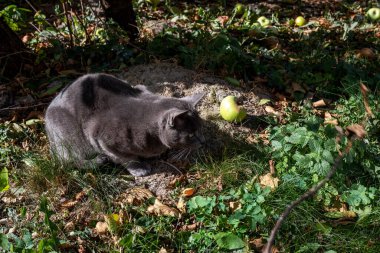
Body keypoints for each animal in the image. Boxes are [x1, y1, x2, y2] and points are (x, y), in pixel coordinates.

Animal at [44, 73, 205, 176]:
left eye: (201, 129)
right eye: (192, 134)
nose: (203, 142)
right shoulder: (101, 139)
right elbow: (125, 158)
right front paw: (138, 168)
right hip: (68, 136)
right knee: (69, 161)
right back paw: (98, 160)